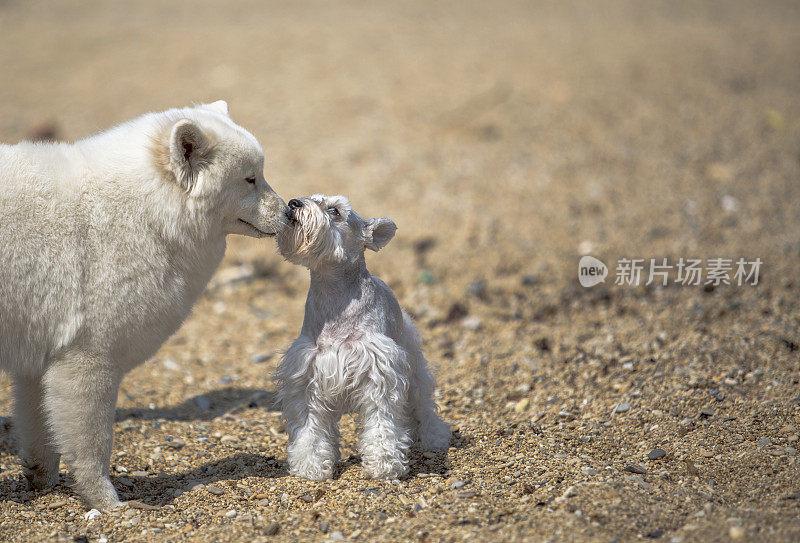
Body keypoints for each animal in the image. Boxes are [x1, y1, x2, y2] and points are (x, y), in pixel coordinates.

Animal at [0, 102, 288, 510]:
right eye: (250, 179)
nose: (290, 212)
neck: (144, 210)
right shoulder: (88, 358)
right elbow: (92, 444)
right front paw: (109, 505)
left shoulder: (39, 362)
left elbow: (40, 432)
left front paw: (42, 482)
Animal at [274, 194, 450, 480]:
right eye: (312, 197)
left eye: (335, 211)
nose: (294, 203)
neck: (333, 294)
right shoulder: (306, 380)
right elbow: (310, 428)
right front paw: (310, 465)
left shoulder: (380, 375)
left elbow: (381, 423)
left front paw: (384, 465)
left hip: (414, 370)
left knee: (423, 406)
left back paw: (435, 437)